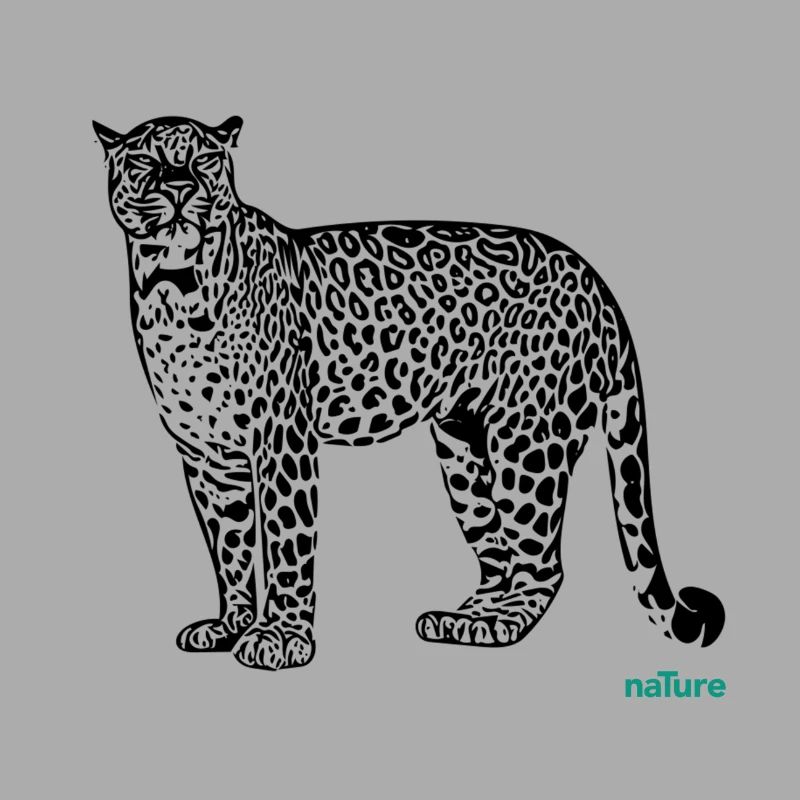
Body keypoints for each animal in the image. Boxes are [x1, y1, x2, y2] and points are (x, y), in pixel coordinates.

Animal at [94, 115, 725, 671]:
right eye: (147, 163)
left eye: (203, 160)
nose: (180, 187)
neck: (173, 291)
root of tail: (599, 283)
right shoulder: (207, 456)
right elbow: (230, 547)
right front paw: (231, 625)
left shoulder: (282, 441)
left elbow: (287, 541)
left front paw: (283, 637)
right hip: (464, 453)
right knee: (497, 553)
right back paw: (464, 619)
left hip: (527, 443)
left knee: (542, 562)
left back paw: (501, 625)